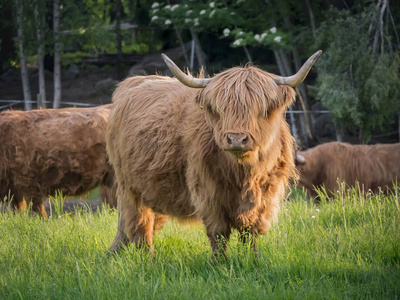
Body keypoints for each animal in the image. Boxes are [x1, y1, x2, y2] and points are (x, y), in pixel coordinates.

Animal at [106, 51, 322, 258]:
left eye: (261, 110)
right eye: (221, 110)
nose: (236, 139)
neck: (244, 173)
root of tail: (132, 82)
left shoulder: (266, 196)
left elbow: (250, 231)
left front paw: (251, 259)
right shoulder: (209, 193)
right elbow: (219, 232)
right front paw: (219, 262)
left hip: (153, 187)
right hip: (130, 186)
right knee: (139, 226)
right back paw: (148, 259)